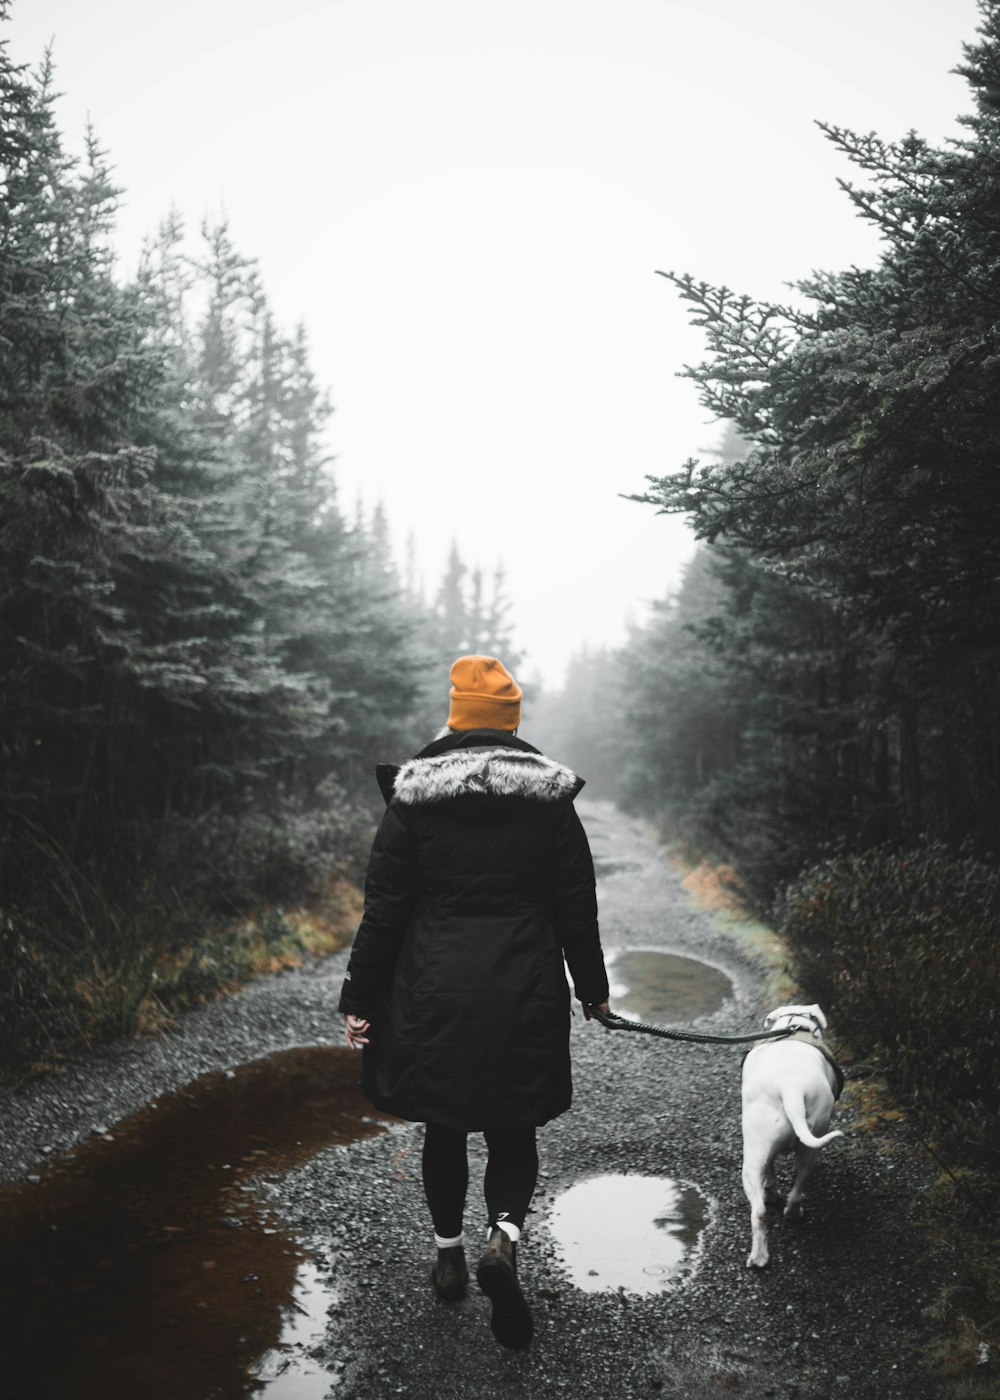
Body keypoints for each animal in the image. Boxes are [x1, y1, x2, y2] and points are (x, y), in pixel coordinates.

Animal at [739, 1008, 840, 1271]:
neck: (795, 1026)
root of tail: (791, 1088)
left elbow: (771, 1172)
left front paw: (771, 1191)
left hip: (753, 1157)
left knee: (759, 1209)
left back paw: (760, 1256)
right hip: (811, 1142)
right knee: (797, 1185)